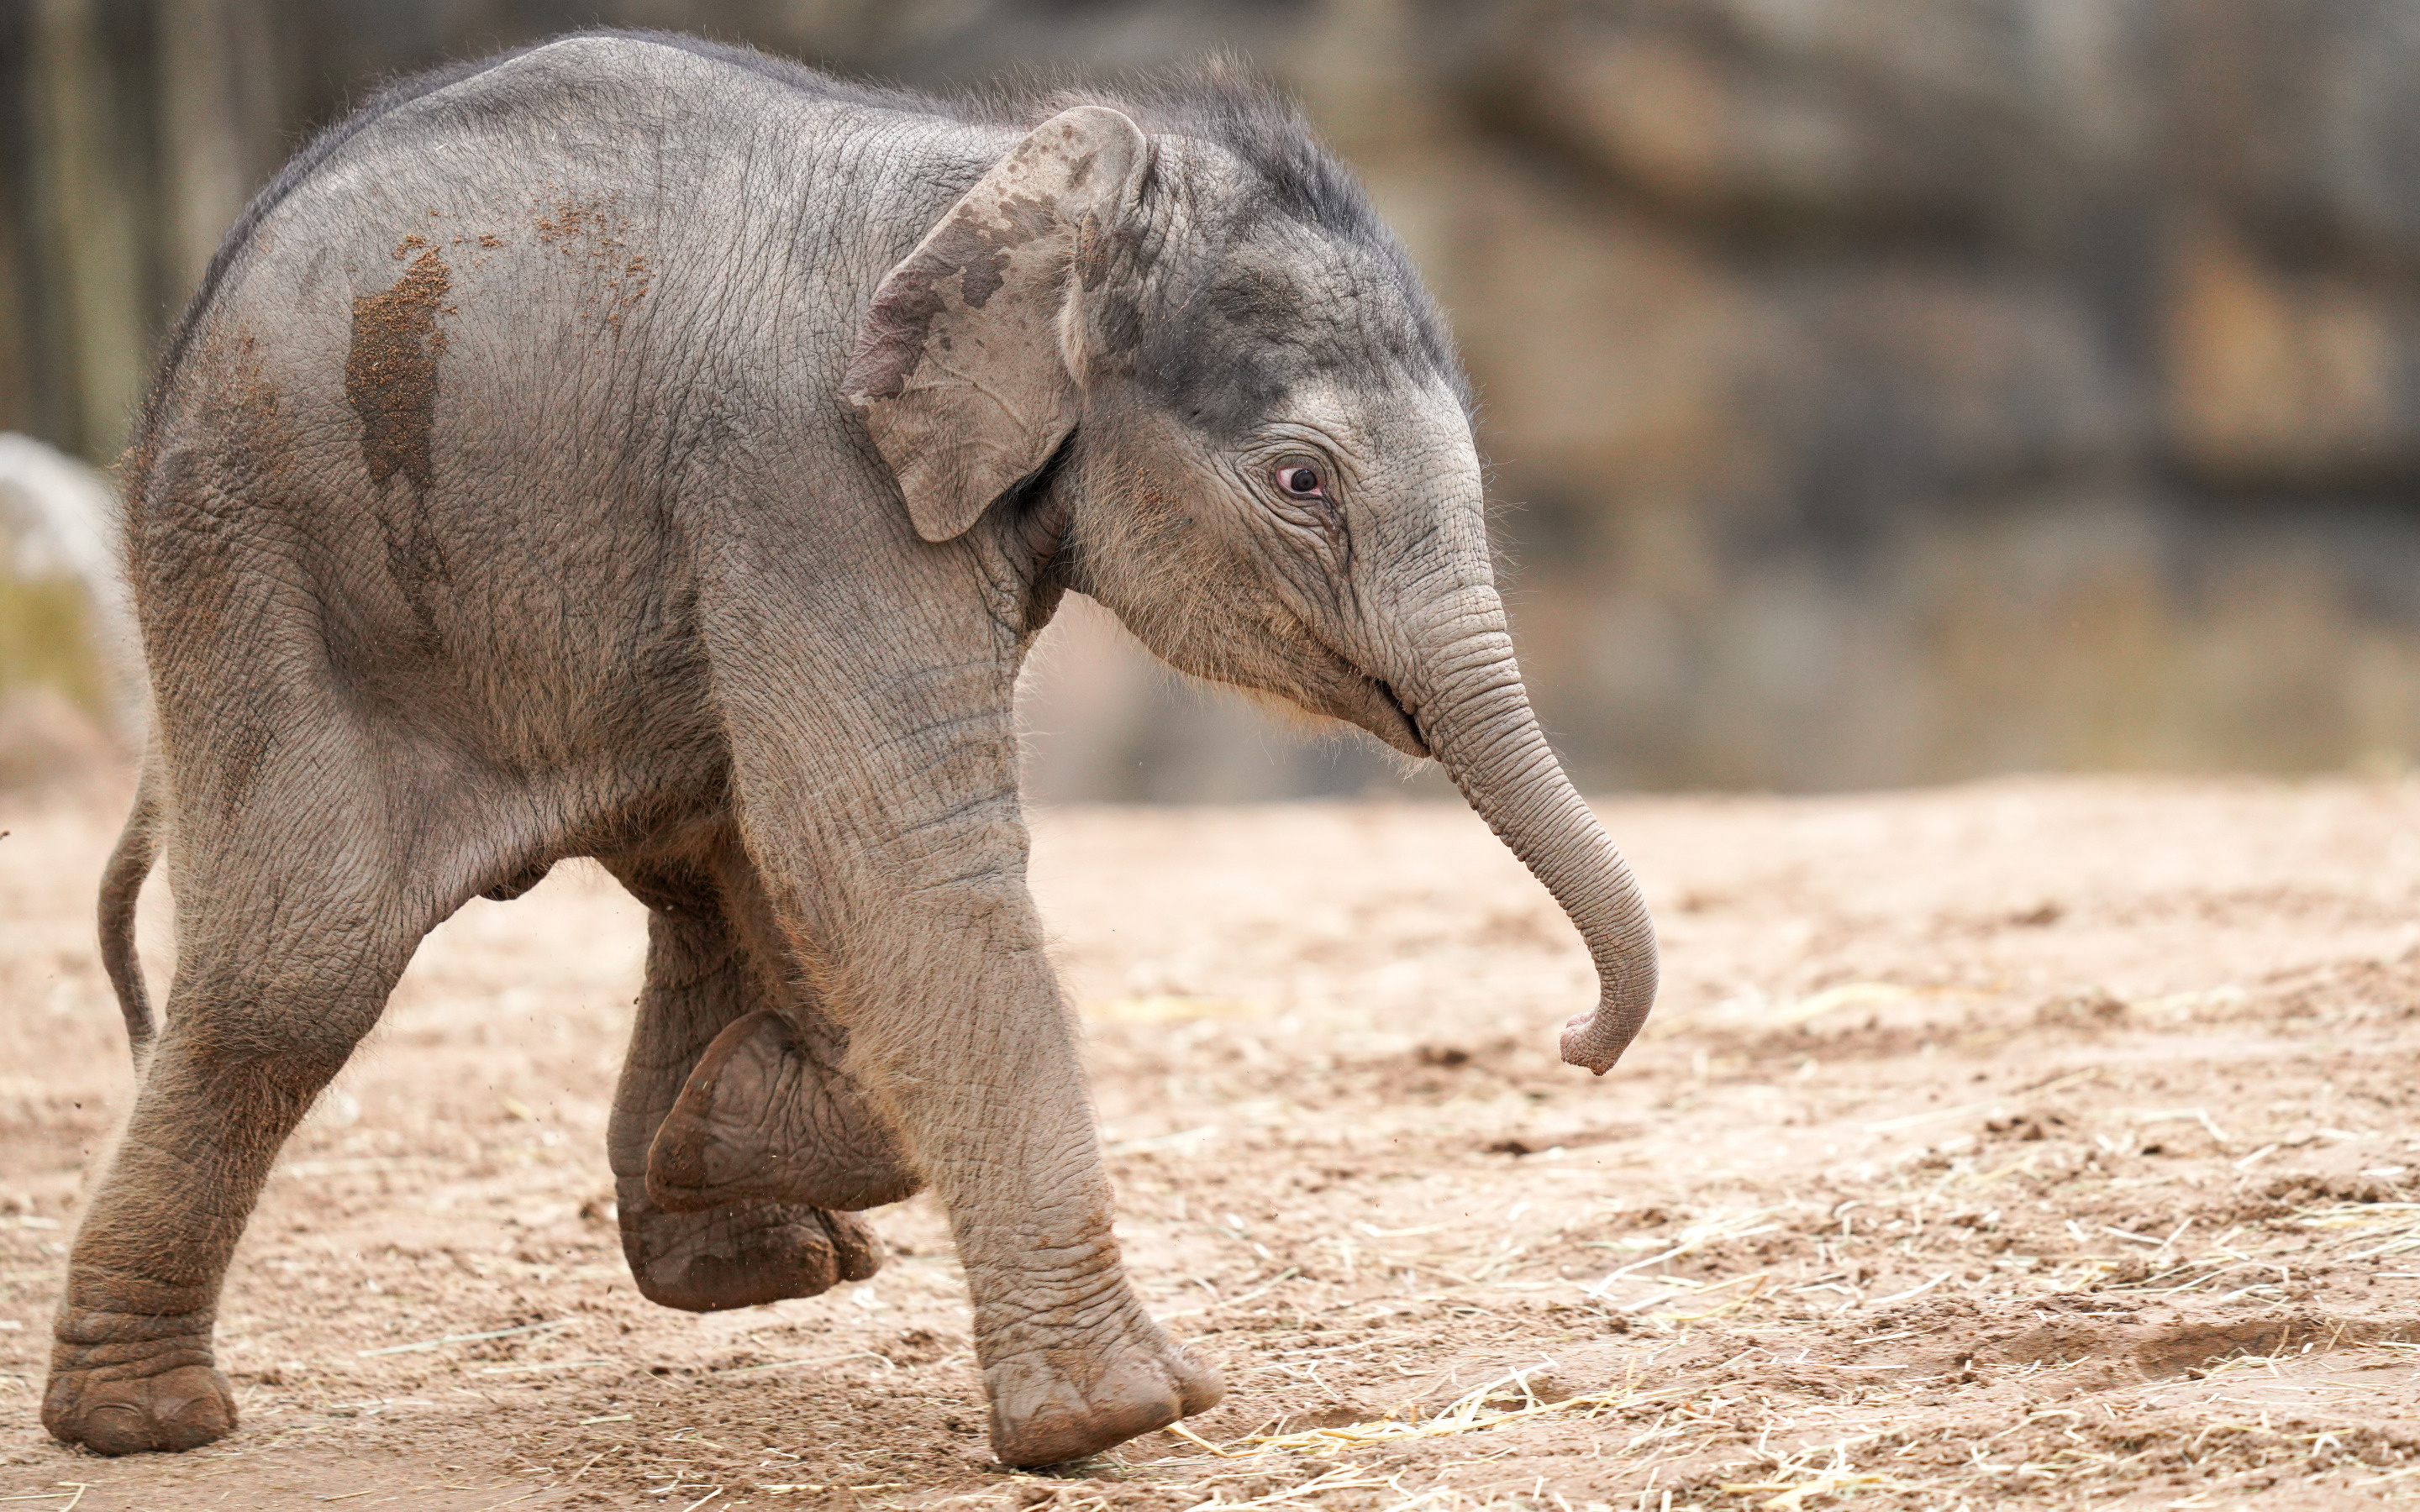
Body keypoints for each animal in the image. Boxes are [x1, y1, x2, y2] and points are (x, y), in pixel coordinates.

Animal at [47, 32, 1655, 1461]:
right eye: (1303, 481)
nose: (1569, 1044)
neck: (1014, 177)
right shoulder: (808, 467)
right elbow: (895, 851)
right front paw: (1125, 1419)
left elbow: (836, 854)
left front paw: (729, 1132)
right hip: (258, 558)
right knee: (299, 970)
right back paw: (144, 1423)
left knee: (705, 865)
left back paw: (741, 1237)